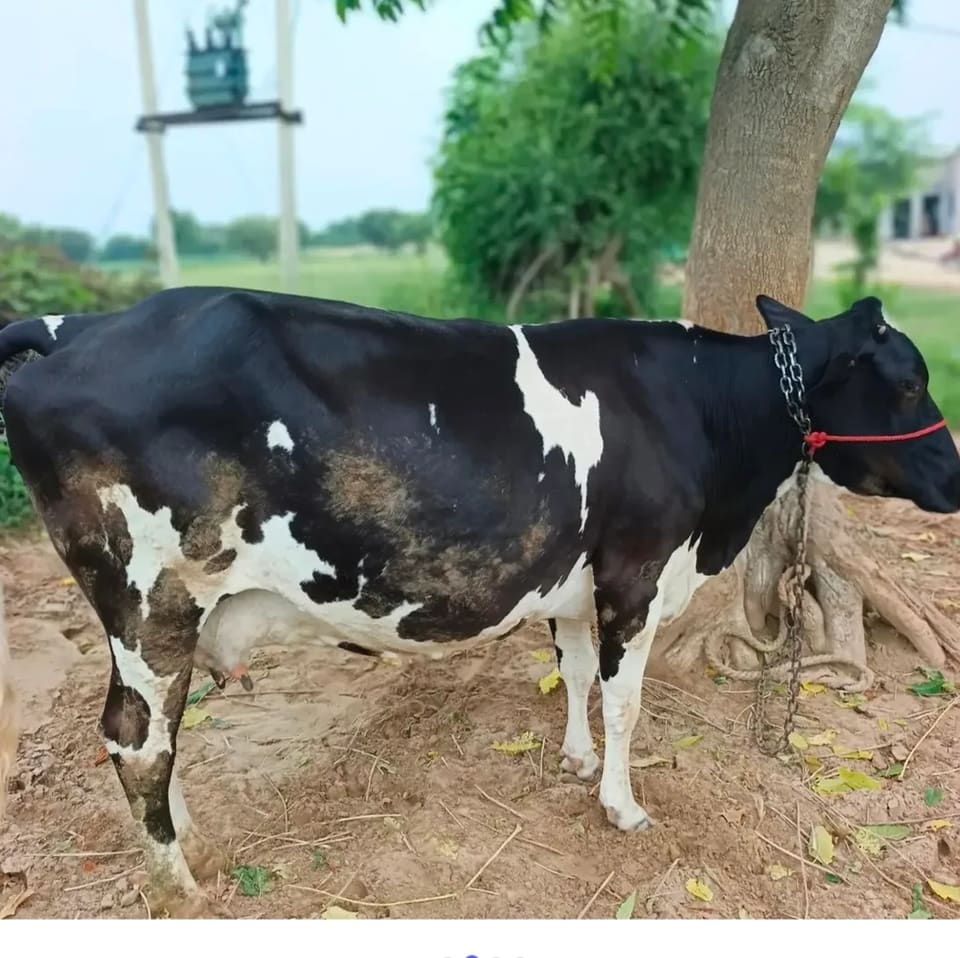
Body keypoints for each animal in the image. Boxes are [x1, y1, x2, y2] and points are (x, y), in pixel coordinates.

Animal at [0, 287, 956, 917]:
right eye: (910, 382)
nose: (955, 473)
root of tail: (80, 326)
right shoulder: (637, 570)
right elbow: (626, 696)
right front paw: (621, 804)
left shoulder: (575, 578)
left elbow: (576, 669)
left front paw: (574, 758)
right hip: (147, 600)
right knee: (136, 738)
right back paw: (181, 887)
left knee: (157, 737)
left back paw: (192, 843)